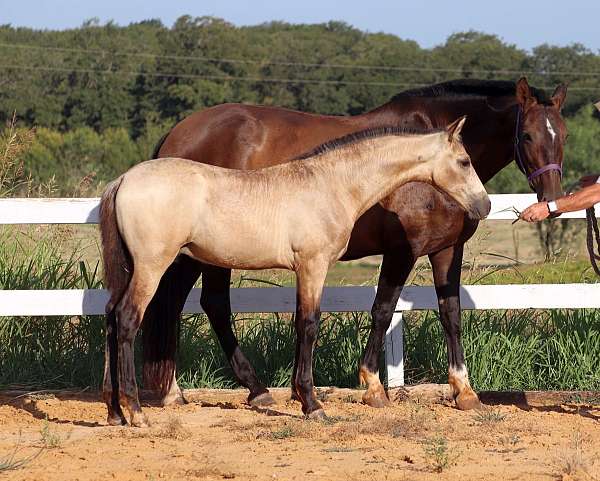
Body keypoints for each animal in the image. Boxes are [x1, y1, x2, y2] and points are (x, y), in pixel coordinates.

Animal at [143, 78, 564, 408]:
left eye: (562, 134)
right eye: (527, 135)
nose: (551, 198)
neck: (418, 164)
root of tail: (176, 135)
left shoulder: (447, 249)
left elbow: (451, 313)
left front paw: (465, 390)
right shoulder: (402, 251)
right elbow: (382, 309)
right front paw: (373, 386)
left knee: (189, 303)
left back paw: (200, 391)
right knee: (198, 303)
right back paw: (237, 389)